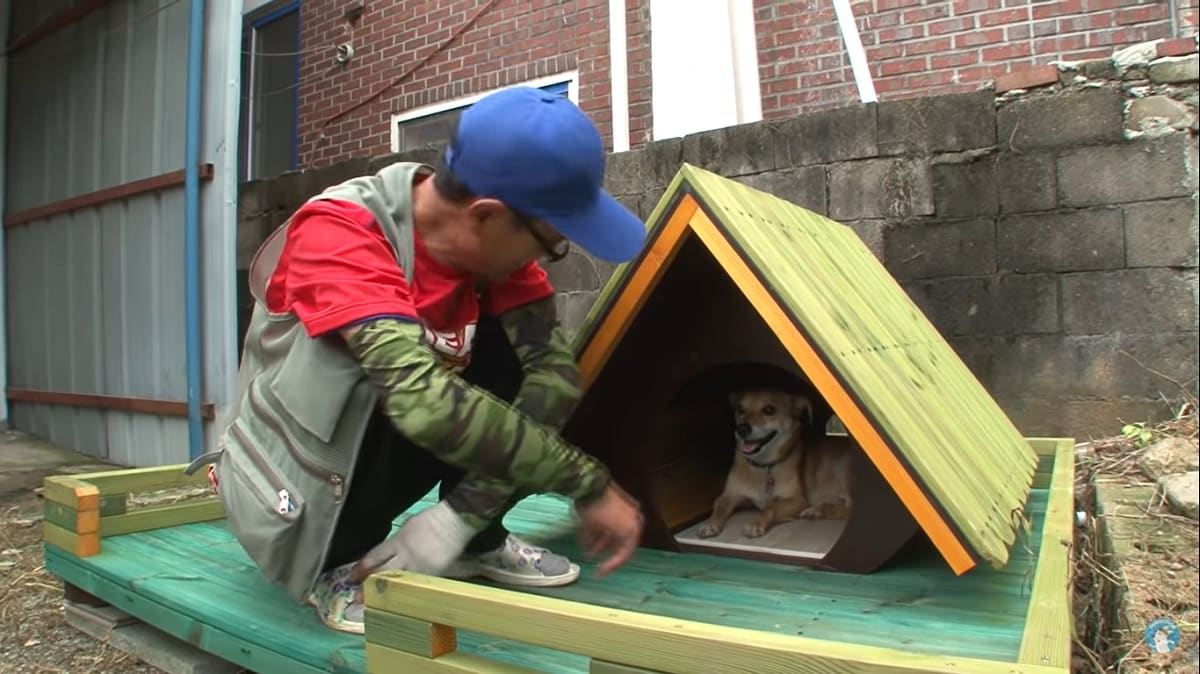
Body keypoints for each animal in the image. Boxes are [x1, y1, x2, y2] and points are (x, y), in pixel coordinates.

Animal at [696, 388, 854, 534]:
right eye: (740, 409)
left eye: (769, 410)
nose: (741, 429)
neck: (763, 466)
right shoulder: (729, 496)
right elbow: (718, 507)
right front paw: (710, 524)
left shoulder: (796, 500)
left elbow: (770, 508)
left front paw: (756, 523)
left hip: (843, 472)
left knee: (848, 510)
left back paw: (816, 511)